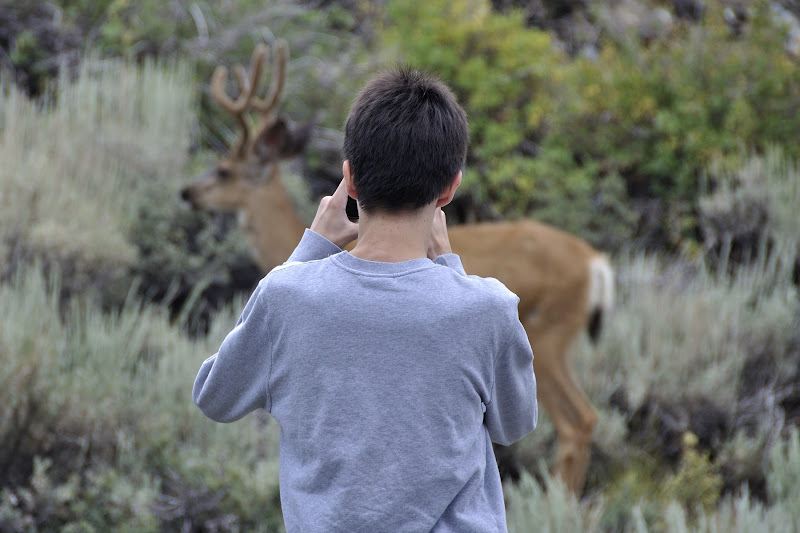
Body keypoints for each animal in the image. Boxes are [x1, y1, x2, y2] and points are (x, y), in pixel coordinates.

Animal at [181, 38, 616, 494]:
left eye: (224, 170)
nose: (187, 192)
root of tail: (595, 263)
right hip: (561, 339)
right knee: (586, 417)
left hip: (546, 333)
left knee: (576, 422)